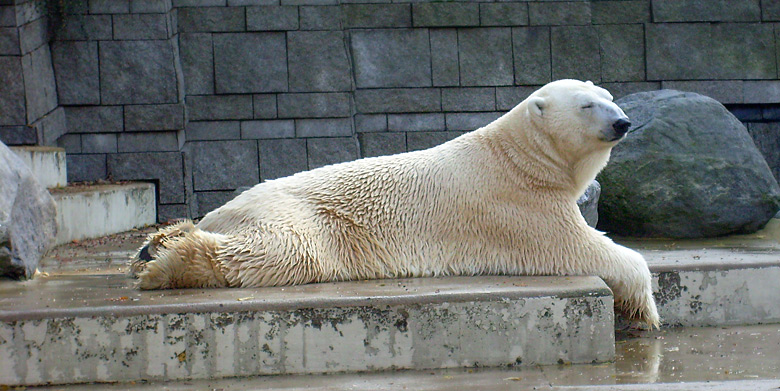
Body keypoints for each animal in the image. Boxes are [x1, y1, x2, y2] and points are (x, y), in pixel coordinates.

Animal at [133, 79, 660, 328]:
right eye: (587, 104)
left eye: (609, 96)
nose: (623, 121)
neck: (518, 156)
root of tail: (229, 207)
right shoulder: (522, 206)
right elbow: (587, 247)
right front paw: (643, 311)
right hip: (304, 218)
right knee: (285, 251)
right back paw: (166, 263)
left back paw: (159, 239)